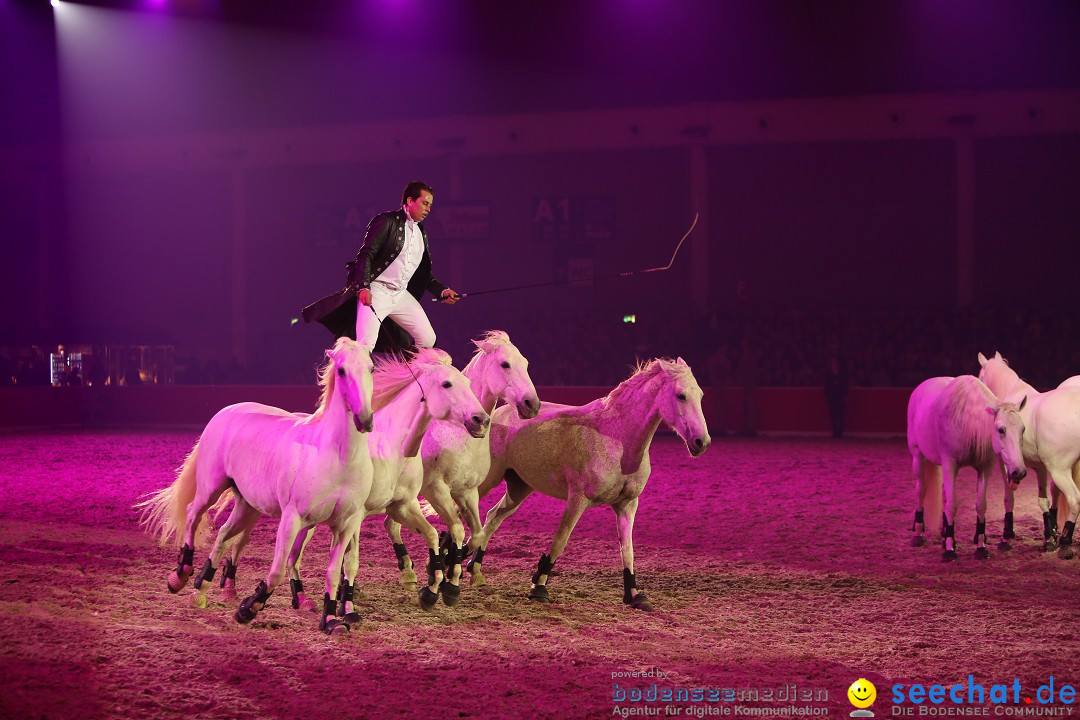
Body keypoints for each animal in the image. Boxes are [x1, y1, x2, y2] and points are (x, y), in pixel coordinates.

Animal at [137, 334, 378, 634]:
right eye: (342, 371)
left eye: (371, 368)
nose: (365, 419)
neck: (337, 458)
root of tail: (227, 410)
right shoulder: (292, 519)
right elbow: (276, 571)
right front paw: (247, 610)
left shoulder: (346, 525)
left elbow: (334, 573)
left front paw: (332, 620)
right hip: (211, 488)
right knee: (193, 514)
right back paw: (180, 575)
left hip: (247, 507)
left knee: (223, 534)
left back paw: (201, 588)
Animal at [386, 332, 544, 604]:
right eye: (505, 364)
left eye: (525, 363)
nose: (531, 404)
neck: (457, 435)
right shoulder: (436, 490)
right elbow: (458, 530)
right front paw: (443, 582)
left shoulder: (467, 491)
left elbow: (475, 534)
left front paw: (449, 571)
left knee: (391, 524)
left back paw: (409, 571)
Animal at [464, 358, 708, 613]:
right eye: (681, 395)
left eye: (700, 395)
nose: (701, 442)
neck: (616, 438)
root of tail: (494, 414)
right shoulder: (577, 500)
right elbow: (560, 541)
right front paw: (539, 588)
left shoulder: (627, 505)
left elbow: (628, 551)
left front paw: (635, 595)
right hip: (488, 481)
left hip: (519, 488)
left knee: (493, 516)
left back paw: (474, 567)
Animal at [907, 375, 1023, 561]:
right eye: (1001, 430)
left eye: (1023, 430)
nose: (1020, 471)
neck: (969, 420)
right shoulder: (950, 465)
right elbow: (952, 505)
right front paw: (949, 550)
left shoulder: (985, 467)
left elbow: (980, 504)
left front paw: (980, 547)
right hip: (918, 456)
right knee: (921, 491)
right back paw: (918, 534)